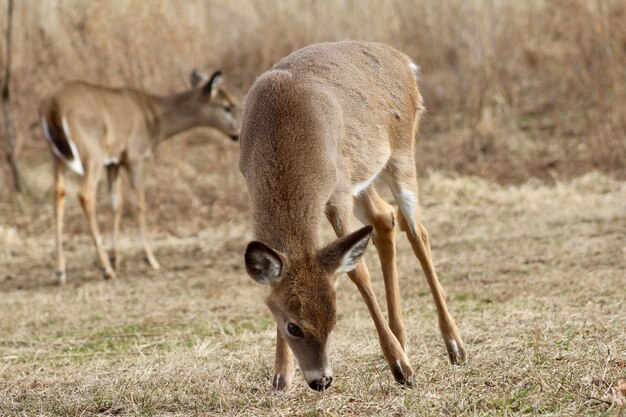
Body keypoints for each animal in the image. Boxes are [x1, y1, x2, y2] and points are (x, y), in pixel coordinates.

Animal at [40, 70, 241, 282]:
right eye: (227, 106)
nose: (238, 132)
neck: (153, 115)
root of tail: (53, 105)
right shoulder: (135, 156)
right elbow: (140, 203)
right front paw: (150, 258)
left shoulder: (113, 162)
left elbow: (117, 203)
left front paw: (116, 257)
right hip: (91, 152)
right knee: (85, 194)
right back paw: (105, 269)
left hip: (56, 155)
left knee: (58, 193)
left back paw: (61, 271)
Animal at [239, 41, 464, 390]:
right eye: (293, 326)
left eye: (334, 320)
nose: (321, 380)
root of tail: (404, 61)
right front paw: (280, 376)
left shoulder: (338, 193)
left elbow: (359, 272)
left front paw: (401, 367)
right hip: (363, 176)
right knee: (385, 218)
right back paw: (403, 338)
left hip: (401, 154)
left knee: (417, 231)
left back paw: (454, 346)